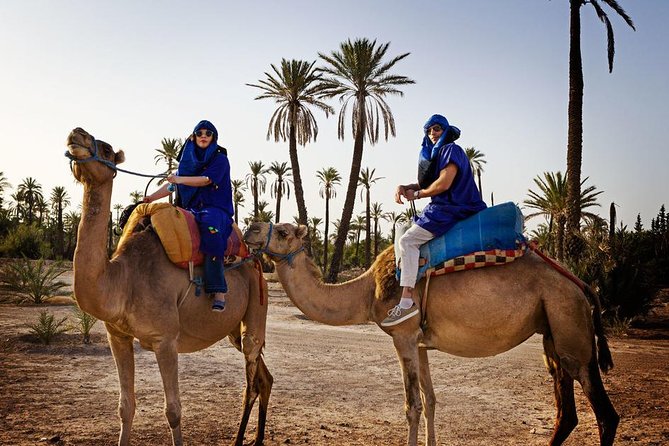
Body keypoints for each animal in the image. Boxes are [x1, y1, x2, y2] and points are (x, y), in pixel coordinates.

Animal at [65, 128, 272, 446]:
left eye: (107, 148)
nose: (77, 133)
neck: (124, 280)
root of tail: (256, 262)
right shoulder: (117, 336)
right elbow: (125, 407)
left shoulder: (166, 340)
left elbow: (173, 411)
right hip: (233, 330)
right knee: (264, 378)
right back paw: (257, 438)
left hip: (257, 304)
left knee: (251, 379)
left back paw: (239, 439)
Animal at [243, 222, 619, 446]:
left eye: (283, 231)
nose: (249, 227)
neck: (365, 292)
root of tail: (582, 285)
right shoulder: (421, 344)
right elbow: (430, 401)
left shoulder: (403, 336)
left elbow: (411, 405)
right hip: (552, 332)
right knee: (566, 411)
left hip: (570, 326)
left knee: (605, 414)